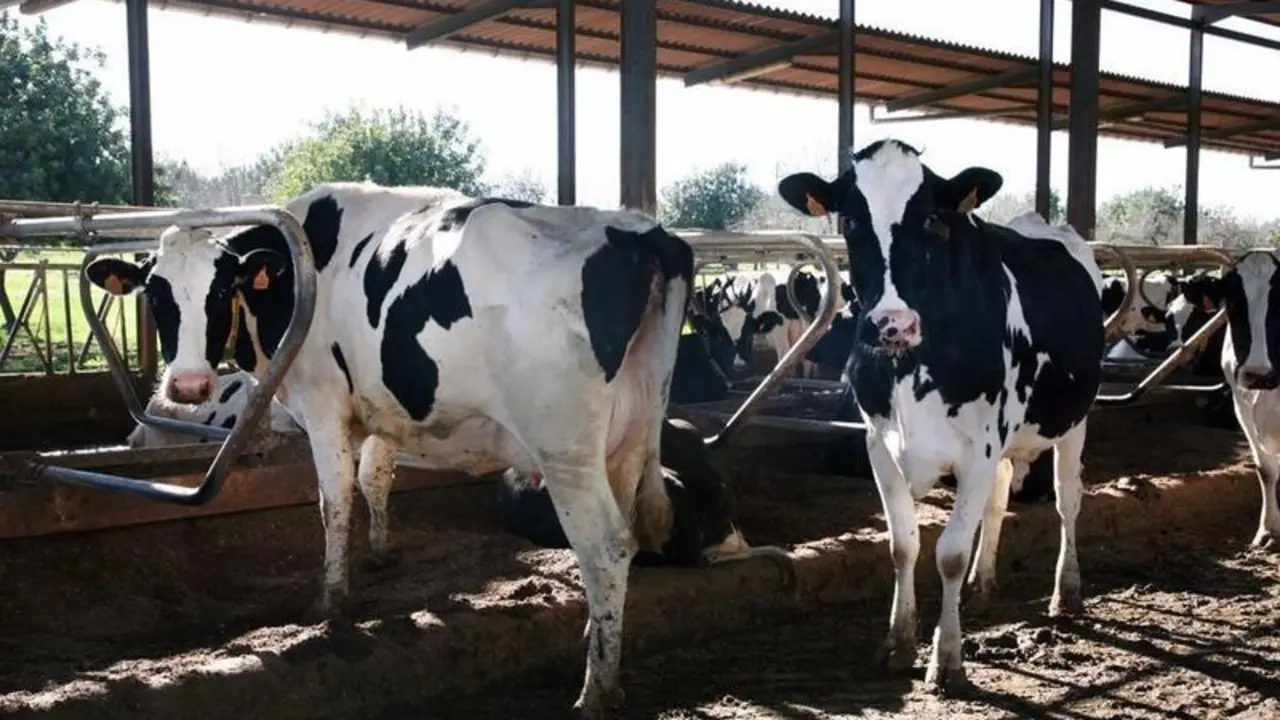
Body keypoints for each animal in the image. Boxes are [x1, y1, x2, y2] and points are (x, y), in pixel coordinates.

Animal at [777, 140, 1102, 694]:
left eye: (931, 218)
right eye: (850, 220)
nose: (892, 324)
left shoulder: (978, 448)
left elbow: (948, 553)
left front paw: (947, 659)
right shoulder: (880, 444)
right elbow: (903, 545)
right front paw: (898, 641)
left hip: (1073, 422)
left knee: (1068, 501)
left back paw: (1067, 590)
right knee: (998, 499)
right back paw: (982, 582)